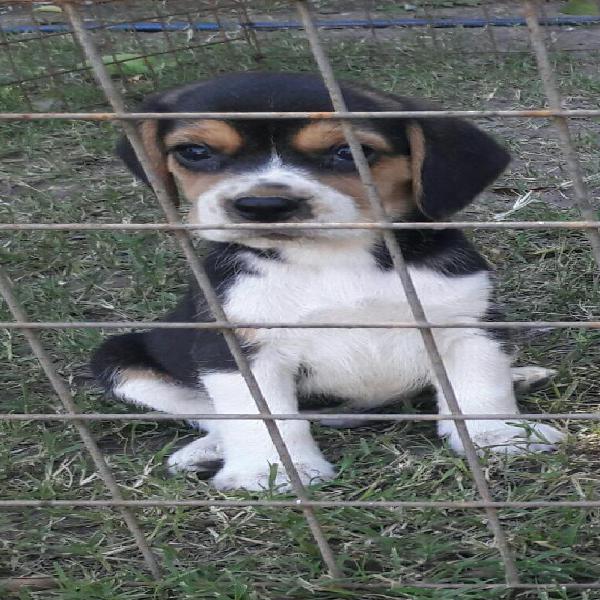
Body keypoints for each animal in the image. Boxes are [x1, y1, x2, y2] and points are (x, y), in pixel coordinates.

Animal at [91, 71, 564, 492]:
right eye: (194, 151)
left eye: (349, 152)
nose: (263, 205)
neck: (332, 257)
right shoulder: (237, 346)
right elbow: (263, 417)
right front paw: (269, 472)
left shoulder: (465, 322)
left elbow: (480, 389)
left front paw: (500, 436)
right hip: (116, 358)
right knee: (210, 413)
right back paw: (207, 451)